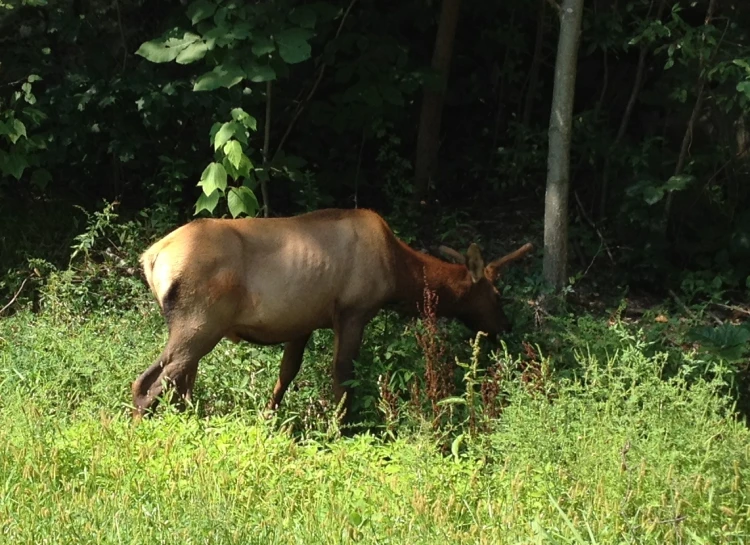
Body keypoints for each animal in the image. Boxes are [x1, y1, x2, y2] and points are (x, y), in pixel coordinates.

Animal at [134, 207, 536, 416]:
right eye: (496, 294)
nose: (505, 326)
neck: (398, 275)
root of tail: (151, 258)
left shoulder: (302, 322)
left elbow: (287, 373)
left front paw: (271, 417)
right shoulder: (354, 310)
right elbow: (343, 377)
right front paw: (338, 428)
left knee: (176, 383)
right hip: (200, 322)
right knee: (148, 383)